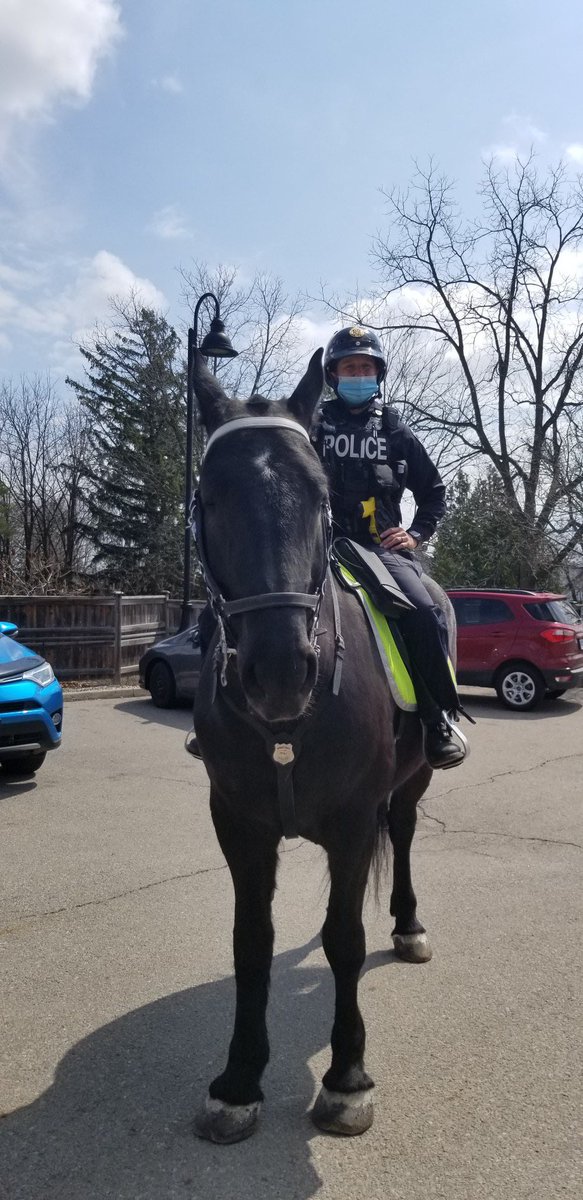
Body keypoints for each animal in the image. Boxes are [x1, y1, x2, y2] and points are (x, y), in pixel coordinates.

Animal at [190, 347, 444, 1144]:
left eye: (317, 494)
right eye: (211, 496)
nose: (278, 670)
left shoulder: (353, 824)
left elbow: (343, 940)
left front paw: (346, 1076)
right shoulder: (238, 824)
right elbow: (251, 941)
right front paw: (239, 1079)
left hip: (413, 781)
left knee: (404, 832)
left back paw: (407, 924)